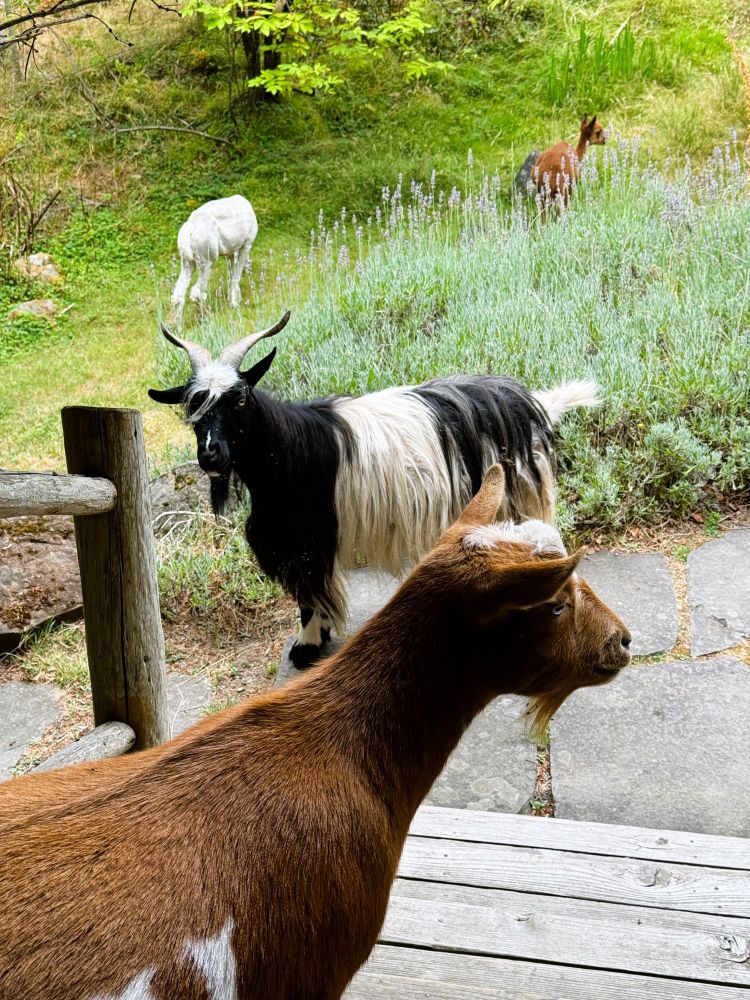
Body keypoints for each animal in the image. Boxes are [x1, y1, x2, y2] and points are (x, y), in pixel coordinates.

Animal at [149, 311, 600, 667]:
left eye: (239, 399)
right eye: (192, 406)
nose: (210, 454)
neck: (286, 450)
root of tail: (532, 402)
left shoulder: (308, 540)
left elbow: (310, 595)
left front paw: (307, 645)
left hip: (520, 494)